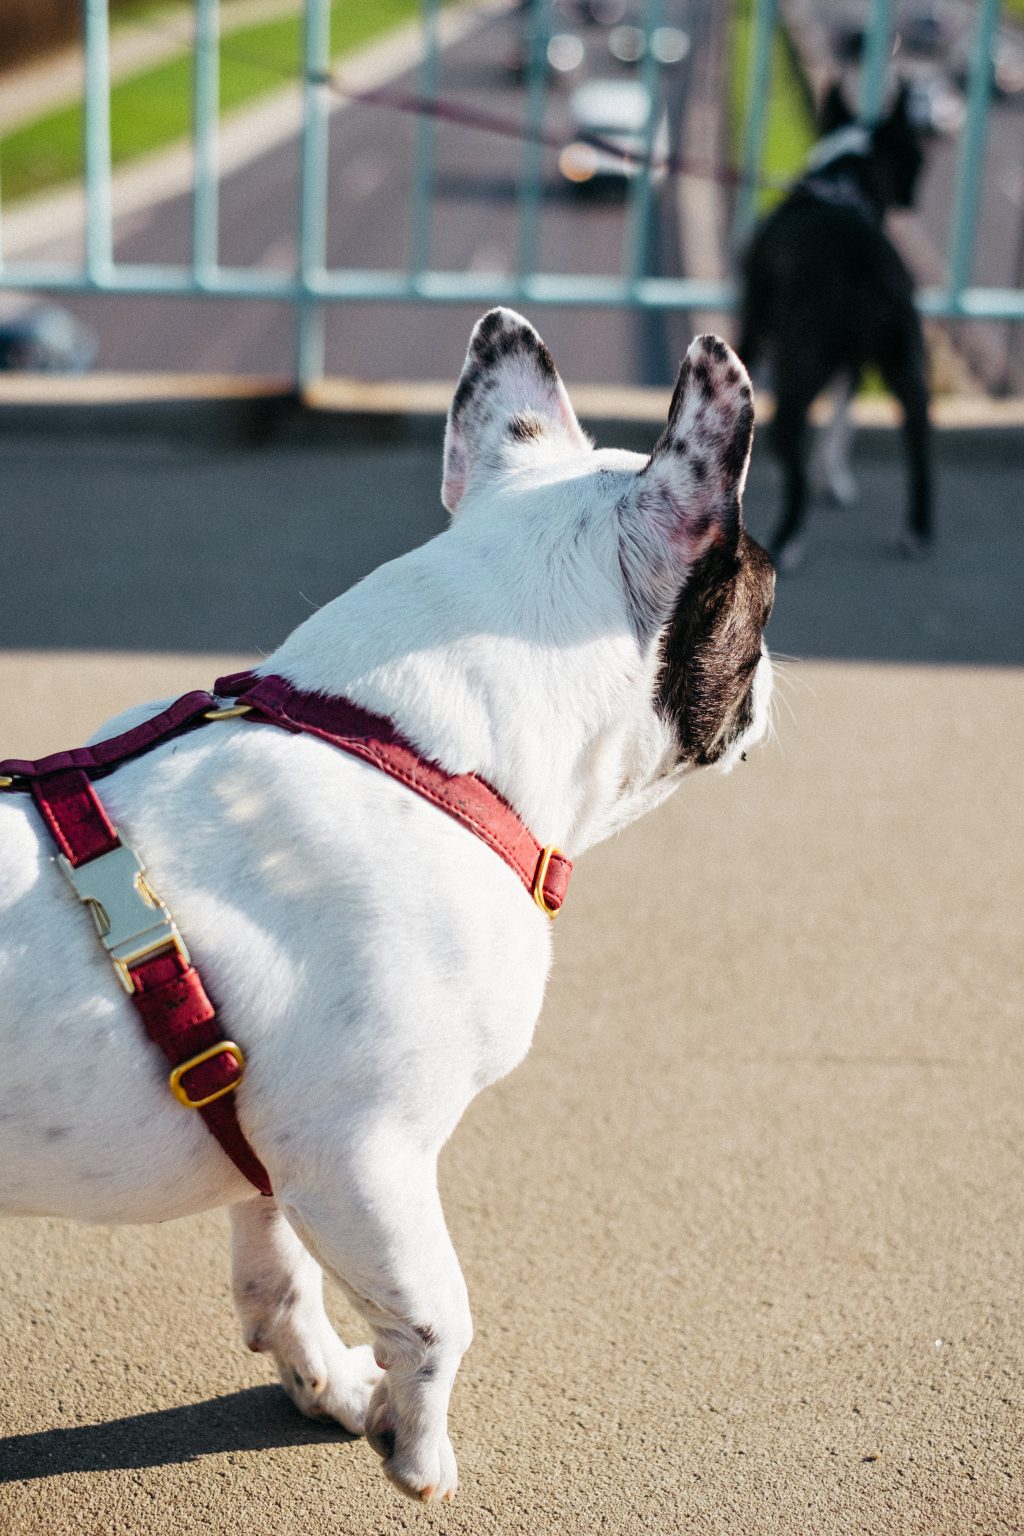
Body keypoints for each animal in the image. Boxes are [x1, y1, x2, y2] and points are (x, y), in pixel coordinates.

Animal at [0, 308, 773, 1499]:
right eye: (765, 599)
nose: (778, 676)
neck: (422, 752)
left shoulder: (279, 1144)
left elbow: (276, 1265)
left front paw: (320, 1378)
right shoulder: (365, 1159)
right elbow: (436, 1318)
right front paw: (416, 1451)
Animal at [739, 81, 933, 571]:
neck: (842, 183)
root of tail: (864, 275)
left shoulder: (753, 324)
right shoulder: (854, 364)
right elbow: (841, 420)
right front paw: (836, 480)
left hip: (800, 365)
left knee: (791, 443)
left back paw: (787, 538)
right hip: (905, 361)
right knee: (919, 438)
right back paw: (918, 530)